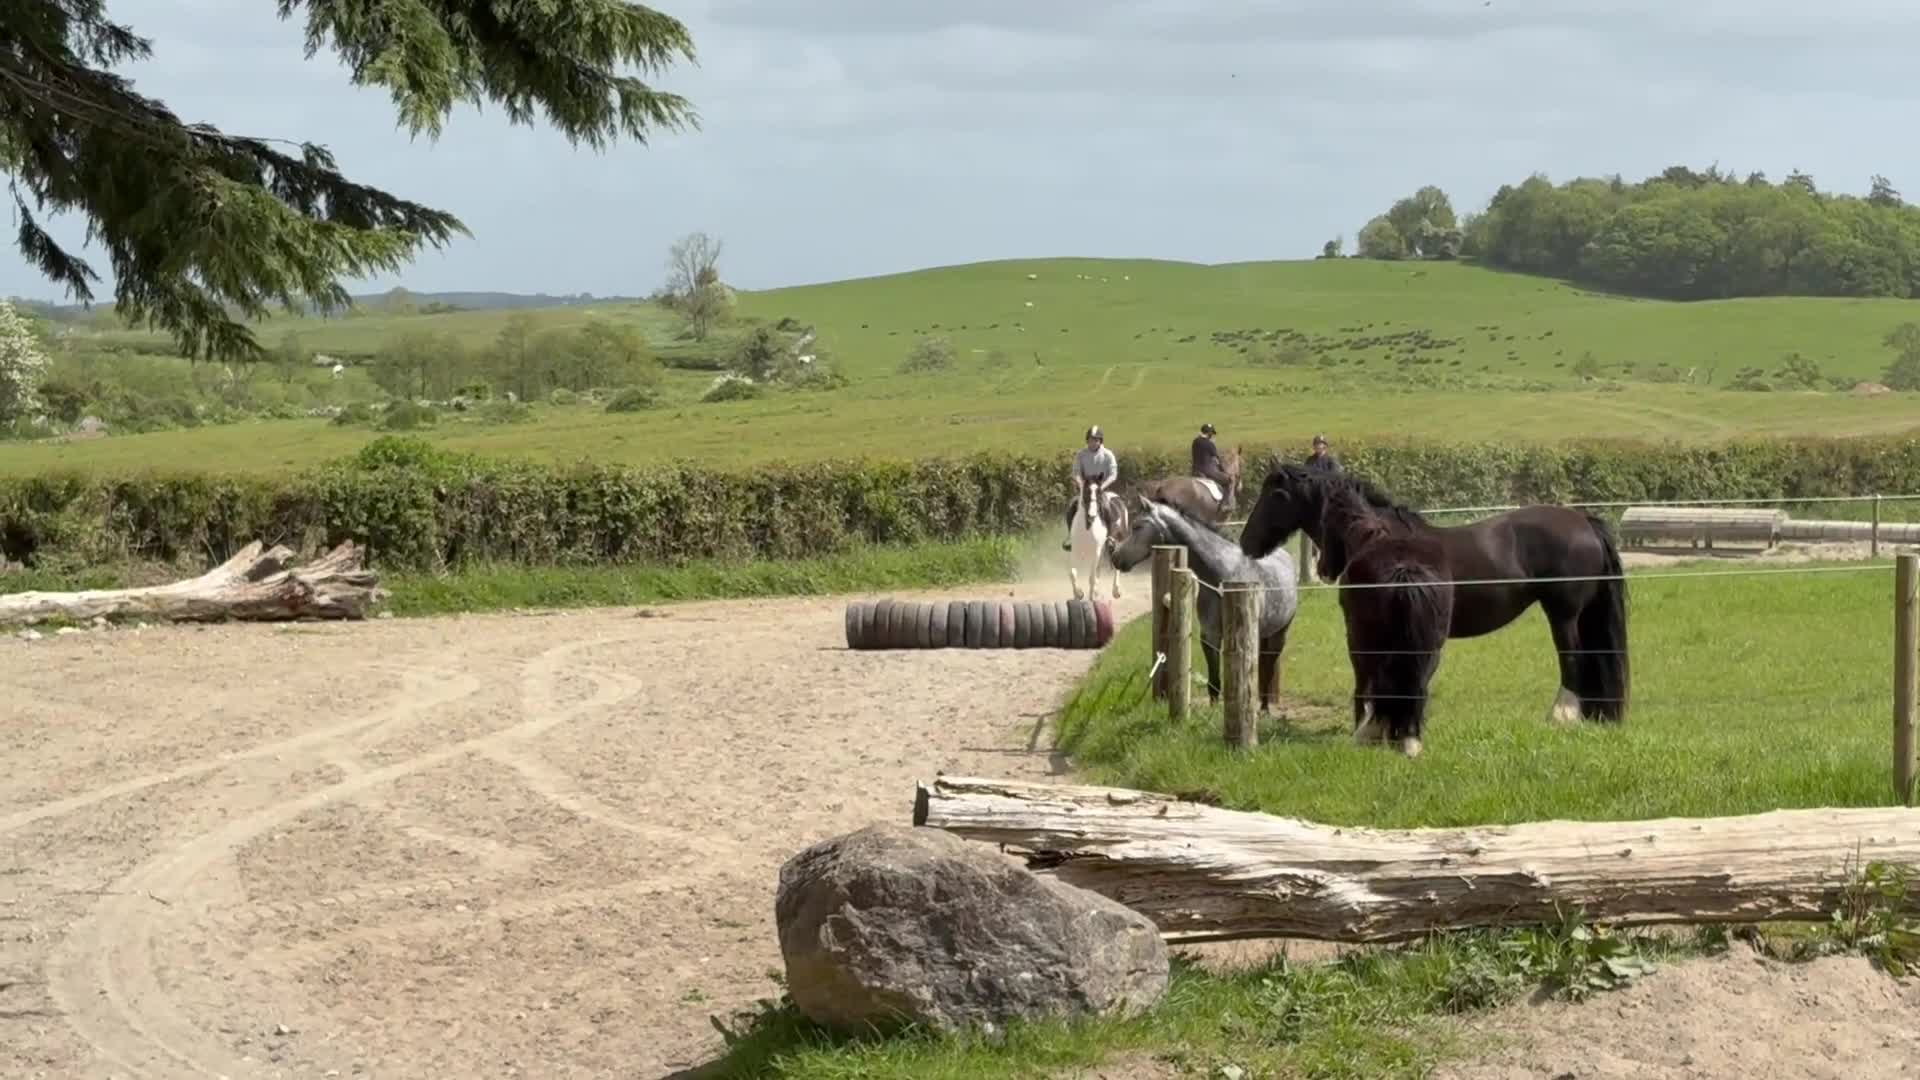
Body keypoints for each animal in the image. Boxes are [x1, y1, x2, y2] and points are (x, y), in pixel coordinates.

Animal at [1109, 497, 1299, 713]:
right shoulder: (1210, 634)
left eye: (1137, 526)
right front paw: (1214, 710)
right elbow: (1214, 680)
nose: (1116, 558)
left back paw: (1265, 708)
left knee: (1268, 670)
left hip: (1279, 634)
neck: (1223, 576)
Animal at [1239, 463, 1630, 725]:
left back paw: (1561, 715)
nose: (1246, 542)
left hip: (1563, 613)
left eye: (1276, 494)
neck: (1376, 538)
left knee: (1573, 658)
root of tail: (1585, 522)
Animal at [1316, 478, 1454, 758]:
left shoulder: (1355, 644)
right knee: (1416, 688)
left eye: (1324, 522)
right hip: (1430, 652)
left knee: (1380, 684)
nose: (1323, 570)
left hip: (1370, 645)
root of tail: (1404, 571)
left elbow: (1362, 687)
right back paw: (1409, 737)